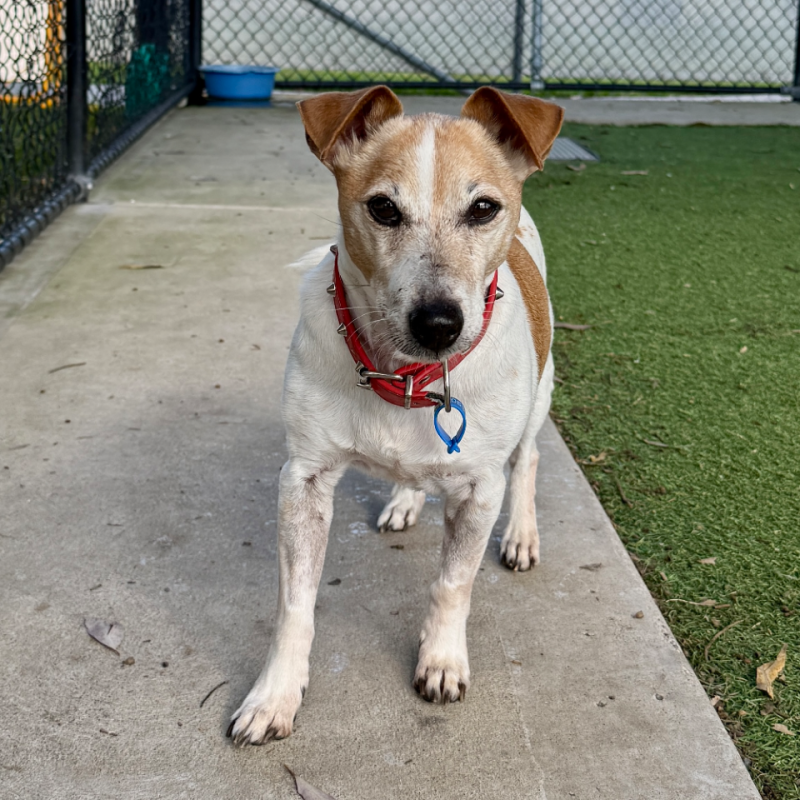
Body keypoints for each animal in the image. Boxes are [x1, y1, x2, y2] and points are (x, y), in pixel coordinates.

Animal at [228, 86, 564, 745]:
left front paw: (441, 660)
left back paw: (521, 533)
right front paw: (275, 694)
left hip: (539, 399)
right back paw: (407, 499)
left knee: (530, 459)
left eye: (483, 208)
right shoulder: (303, 480)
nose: (438, 324)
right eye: (383, 209)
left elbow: (453, 584)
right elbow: (295, 604)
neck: (405, 380)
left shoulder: (480, 488)